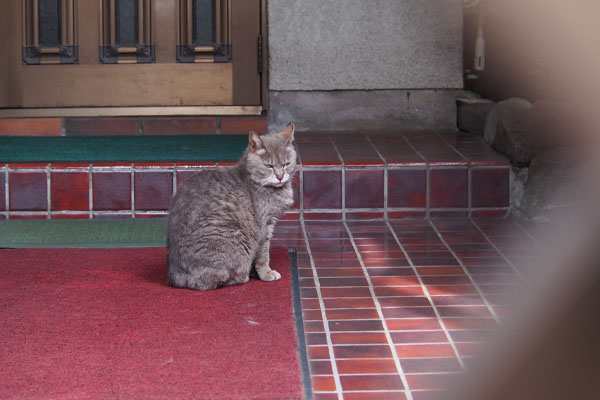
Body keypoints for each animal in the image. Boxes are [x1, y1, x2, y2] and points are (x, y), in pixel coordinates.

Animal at [166, 123, 298, 290]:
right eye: (269, 166)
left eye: (286, 164)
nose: (280, 176)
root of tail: (177, 277)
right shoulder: (265, 226)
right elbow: (263, 254)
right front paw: (266, 272)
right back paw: (243, 276)